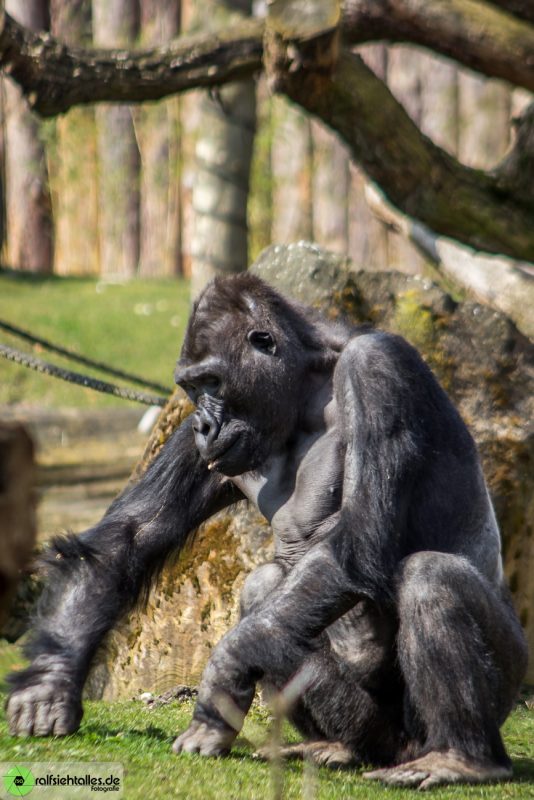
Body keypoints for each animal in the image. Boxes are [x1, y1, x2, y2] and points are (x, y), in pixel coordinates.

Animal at [6, 274, 528, 788]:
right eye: (191, 388)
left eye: (212, 381)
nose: (203, 422)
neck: (305, 392)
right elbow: (130, 536)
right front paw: (48, 682)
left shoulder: (378, 366)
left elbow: (356, 540)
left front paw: (222, 674)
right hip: (374, 732)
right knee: (266, 590)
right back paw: (334, 746)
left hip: (496, 688)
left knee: (431, 578)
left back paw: (461, 757)